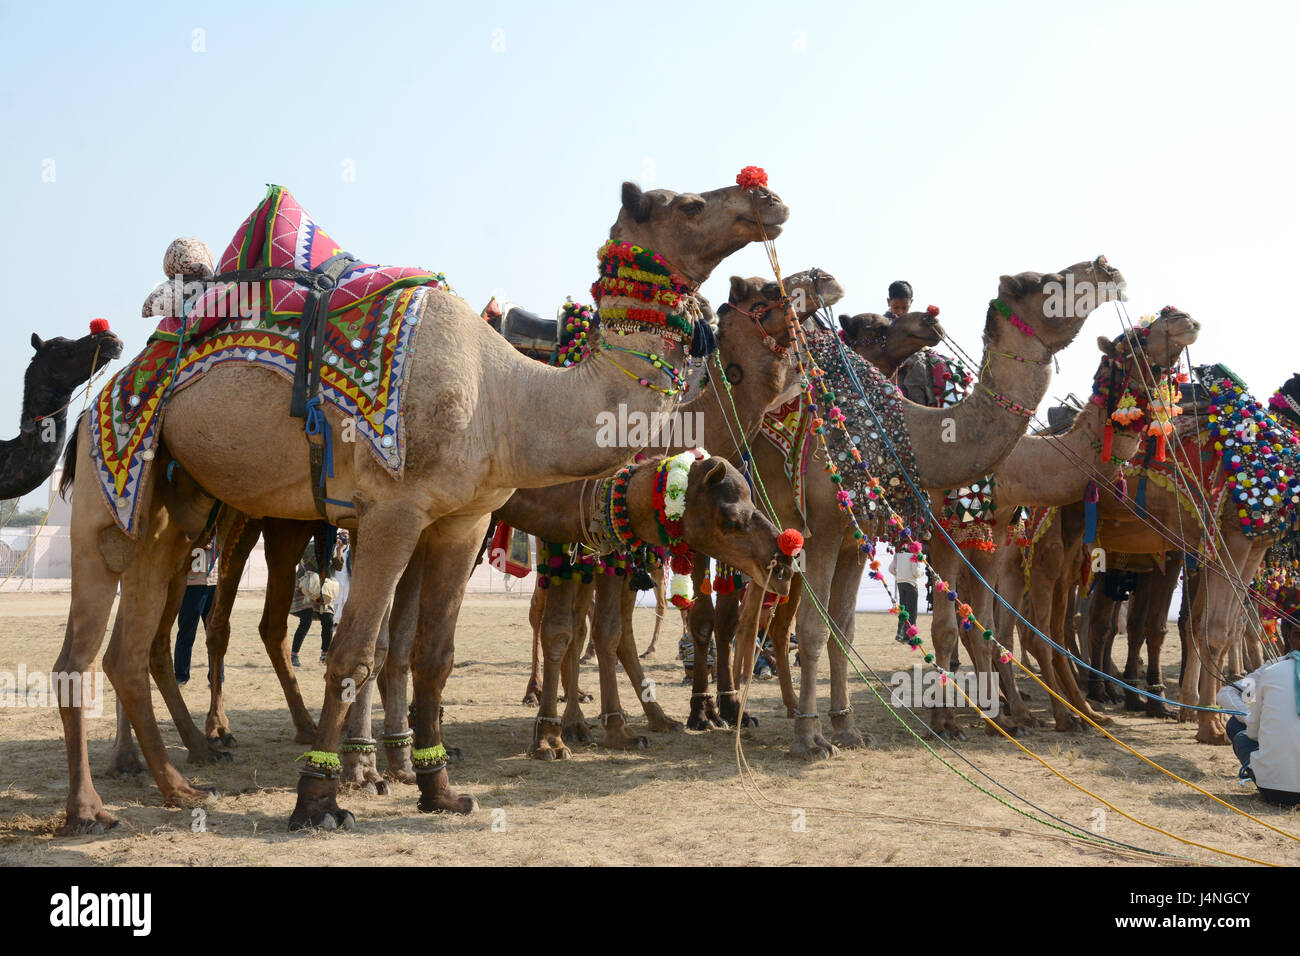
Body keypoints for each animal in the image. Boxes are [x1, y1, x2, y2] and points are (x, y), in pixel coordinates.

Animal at [53, 175, 790, 832]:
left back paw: (178, 786)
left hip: (175, 512)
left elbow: (434, 653)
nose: (767, 197)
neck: (509, 397)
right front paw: (321, 799)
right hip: (112, 492)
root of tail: (99, 399)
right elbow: (355, 650)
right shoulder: (393, 512)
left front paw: (440, 791)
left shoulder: (463, 519)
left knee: (126, 651)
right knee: (83, 655)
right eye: (688, 203)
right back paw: (93, 807)